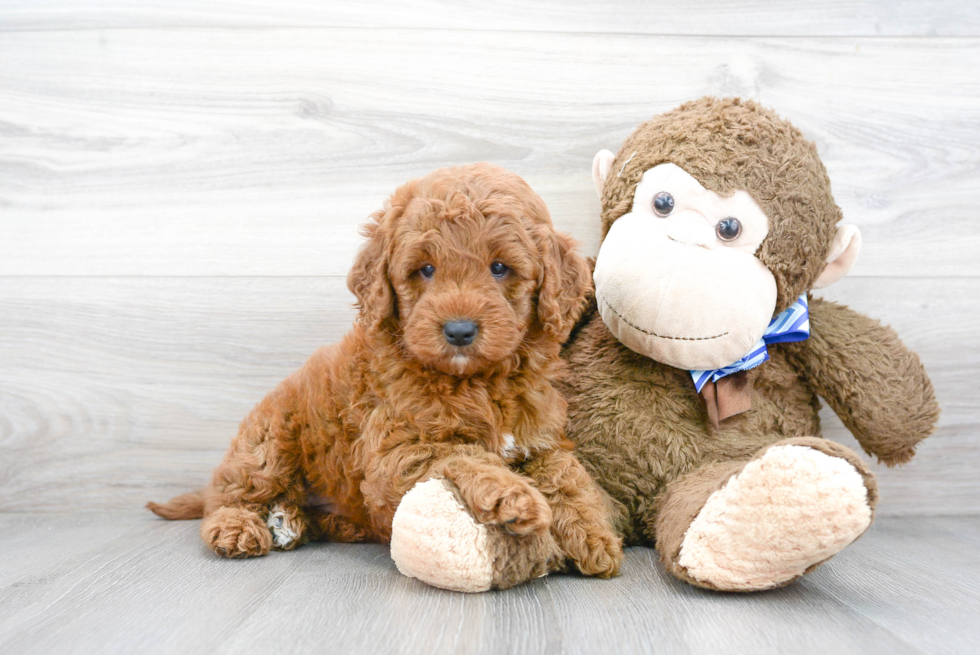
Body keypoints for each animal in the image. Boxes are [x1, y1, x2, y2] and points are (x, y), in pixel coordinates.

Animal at [147, 161, 620, 588]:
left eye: (499, 268)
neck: (479, 382)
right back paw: (239, 527)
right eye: (425, 269)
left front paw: (594, 534)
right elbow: (466, 454)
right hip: (269, 442)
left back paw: (295, 521)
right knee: (231, 493)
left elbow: (568, 475)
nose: (459, 330)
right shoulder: (398, 450)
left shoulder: (541, 439)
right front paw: (515, 497)